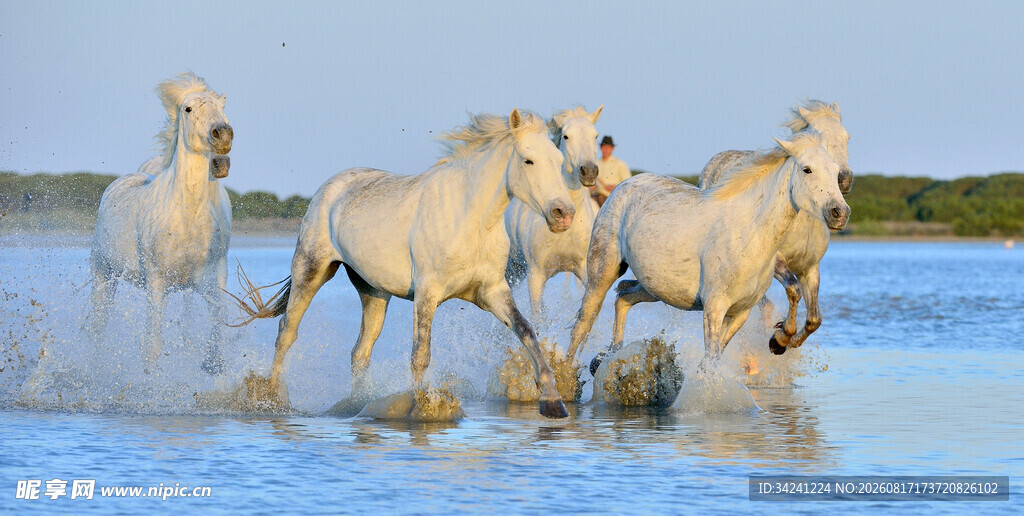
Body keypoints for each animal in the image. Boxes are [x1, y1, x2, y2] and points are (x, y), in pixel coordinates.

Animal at [87, 72, 233, 375]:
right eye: (188, 109)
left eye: (222, 107)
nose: (223, 136)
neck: (186, 219)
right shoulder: (156, 283)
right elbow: (151, 348)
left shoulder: (211, 281)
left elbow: (216, 347)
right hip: (103, 274)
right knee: (98, 327)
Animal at [233, 109, 576, 418]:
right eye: (528, 160)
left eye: (559, 163)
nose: (564, 214)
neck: (469, 220)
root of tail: (330, 187)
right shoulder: (427, 292)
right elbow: (421, 353)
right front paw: (424, 407)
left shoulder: (491, 291)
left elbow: (527, 331)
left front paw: (552, 401)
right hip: (311, 270)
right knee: (286, 332)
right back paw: (272, 399)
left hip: (372, 291)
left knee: (360, 351)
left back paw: (357, 404)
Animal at [567, 132, 850, 375]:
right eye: (807, 169)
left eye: (835, 171)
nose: (840, 213)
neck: (751, 232)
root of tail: (624, 185)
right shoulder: (715, 307)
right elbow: (712, 357)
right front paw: (779, 340)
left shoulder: (740, 312)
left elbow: (711, 361)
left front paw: (778, 340)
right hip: (602, 272)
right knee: (584, 322)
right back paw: (568, 377)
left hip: (655, 287)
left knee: (623, 297)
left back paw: (606, 358)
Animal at [698, 100, 851, 354]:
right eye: (817, 135)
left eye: (847, 136)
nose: (844, 180)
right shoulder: (777, 261)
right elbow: (793, 290)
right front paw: (779, 339)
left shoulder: (810, 268)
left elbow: (814, 319)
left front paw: (791, 341)